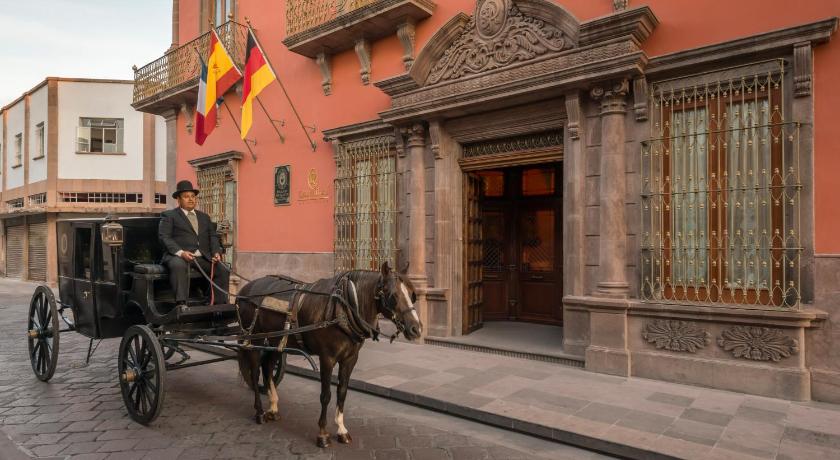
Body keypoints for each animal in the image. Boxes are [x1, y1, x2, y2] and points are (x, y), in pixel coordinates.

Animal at [233, 262, 424, 446]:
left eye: (412, 294)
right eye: (393, 296)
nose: (416, 328)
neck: (344, 307)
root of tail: (243, 291)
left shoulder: (350, 359)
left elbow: (342, 392)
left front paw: (341, 429)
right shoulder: (327, 358)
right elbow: (326, 395)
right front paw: (323, 434)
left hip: (275, 340)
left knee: (268, 367)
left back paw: (273, 407)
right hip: (254, 339)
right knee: (255, 372)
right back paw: (259, 412)